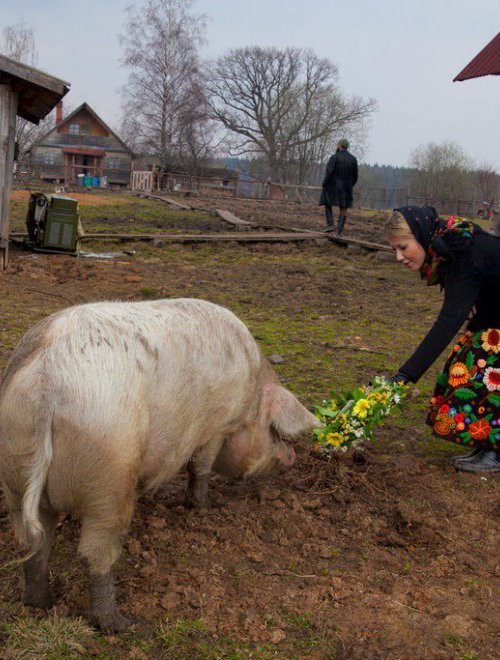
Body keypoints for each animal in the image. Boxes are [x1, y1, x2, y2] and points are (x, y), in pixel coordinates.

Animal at [0, 298, 318, 628]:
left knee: (32, 543)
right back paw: (123, 625)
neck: (253, 393)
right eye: (275, 431)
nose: (292, 458)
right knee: (94, 552)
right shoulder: (215, 428)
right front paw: (203, 508)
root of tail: (46, 384)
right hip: (109, 470)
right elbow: (200, 467)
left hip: (15, 463)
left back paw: (40, 603)